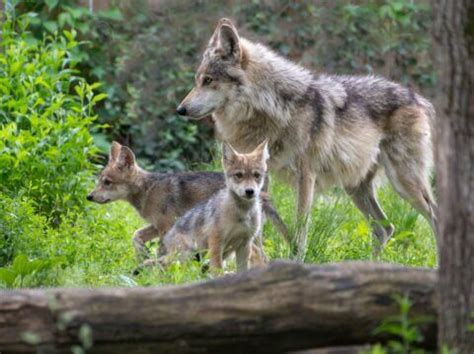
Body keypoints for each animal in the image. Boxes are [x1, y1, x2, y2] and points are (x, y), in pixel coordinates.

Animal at [178, 17, 436, 260]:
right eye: (198, 80)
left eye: (208, 80)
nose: (180, 110)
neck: (274, 107)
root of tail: (416, 97)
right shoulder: (261, 179)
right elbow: (259, 227)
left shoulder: (306, 176)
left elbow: (300, 230)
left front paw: (295, 261)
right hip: (355, 187)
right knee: (385, 228)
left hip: (404, 183)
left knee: (433, 215)